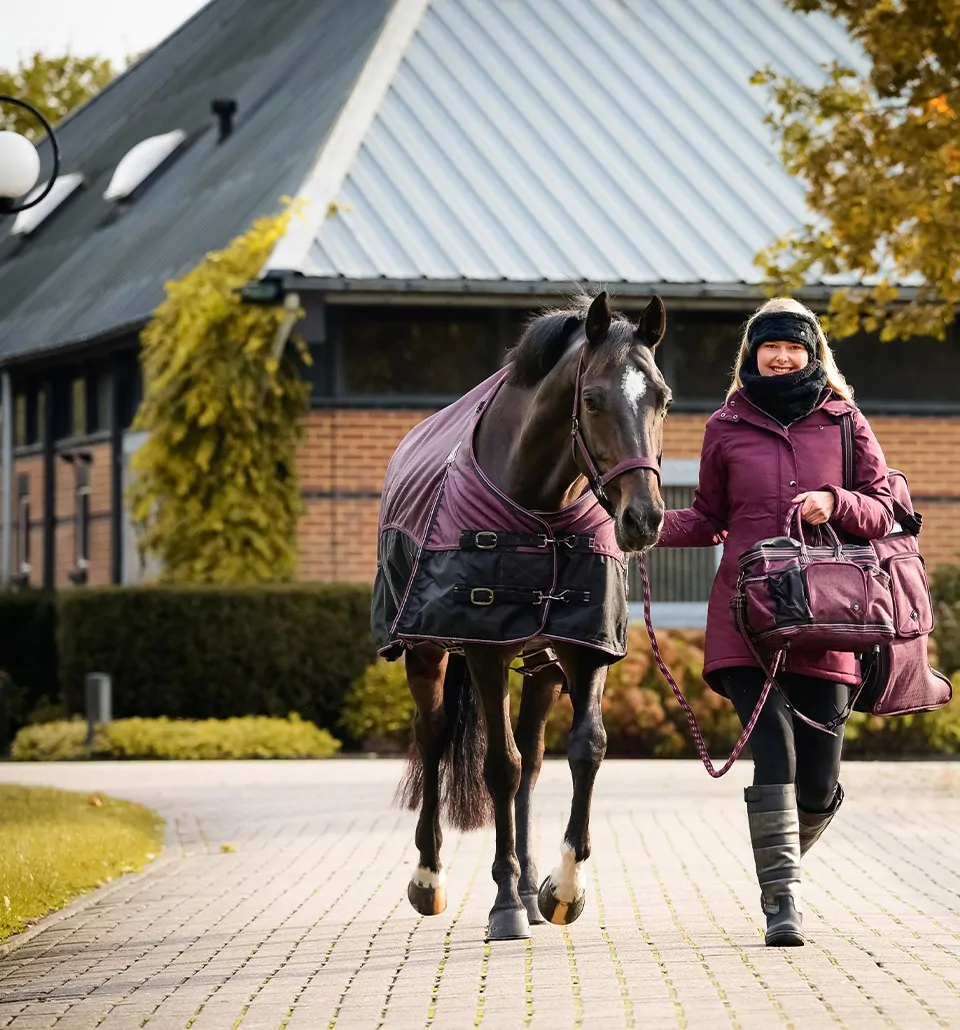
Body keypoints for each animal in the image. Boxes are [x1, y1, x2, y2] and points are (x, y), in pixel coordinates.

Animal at [372, 290, 671, 940]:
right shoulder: (485, 649)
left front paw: (563, 888)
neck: (539, 507)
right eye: (592, 399)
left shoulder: (584, 650)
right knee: (435, 737)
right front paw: (505, 905)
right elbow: (498, 768)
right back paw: (432, 879)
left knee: (532, 761)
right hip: (426, 652)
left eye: (662, 397)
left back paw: (532, 891)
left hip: (541, 668)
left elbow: (585, 749)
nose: (644, 519)